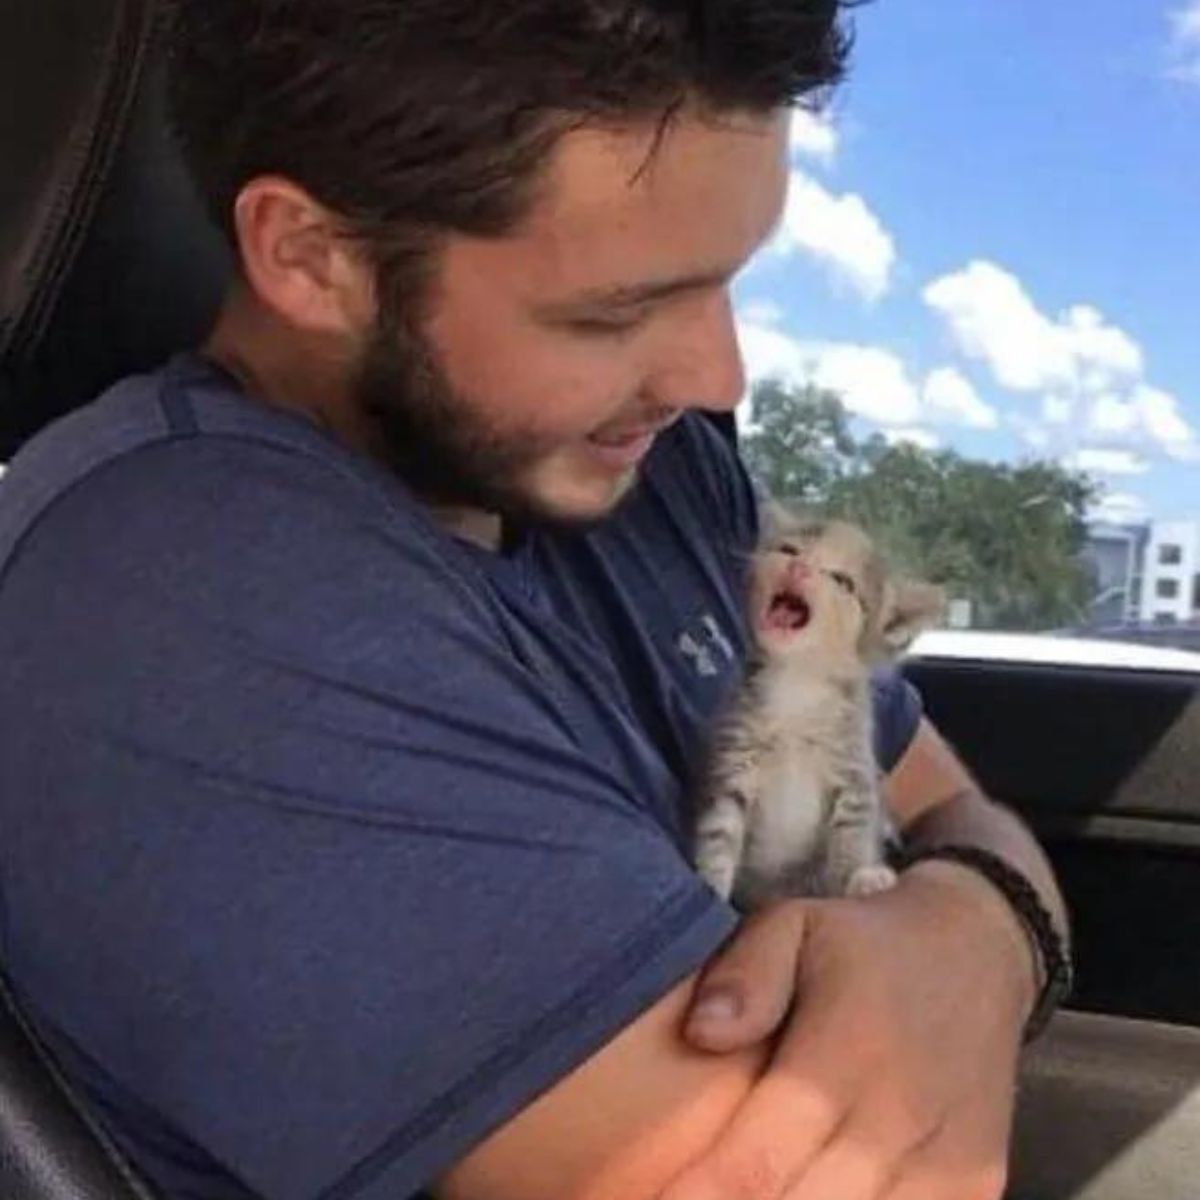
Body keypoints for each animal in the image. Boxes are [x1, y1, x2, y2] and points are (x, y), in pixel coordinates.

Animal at [696, 508, 945, 907]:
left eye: (842, 581)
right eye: (788, 549)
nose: (799, 568)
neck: (797, 682)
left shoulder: (853, 771)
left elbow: (852, 835)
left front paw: (859, 877)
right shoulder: (734, 765)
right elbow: (717, 833)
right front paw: (712, 884)